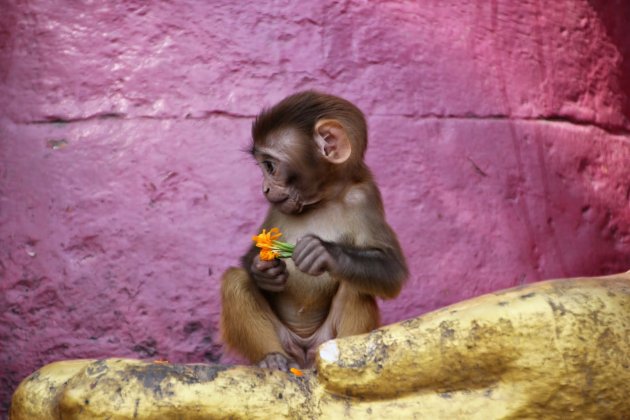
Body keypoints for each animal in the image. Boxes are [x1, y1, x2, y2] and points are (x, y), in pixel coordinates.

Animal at [221, 90, 410, 370]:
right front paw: (263, 270)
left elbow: (391, 269)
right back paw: (272, 358)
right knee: (235, 280)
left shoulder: (364, 197)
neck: (323, 199)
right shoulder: (278, 207)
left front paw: (322, 252)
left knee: (357, 285)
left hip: (323, 340)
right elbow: (252, 255)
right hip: (286, 342)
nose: (265, 188)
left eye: (270, 166)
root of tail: (304, 355)